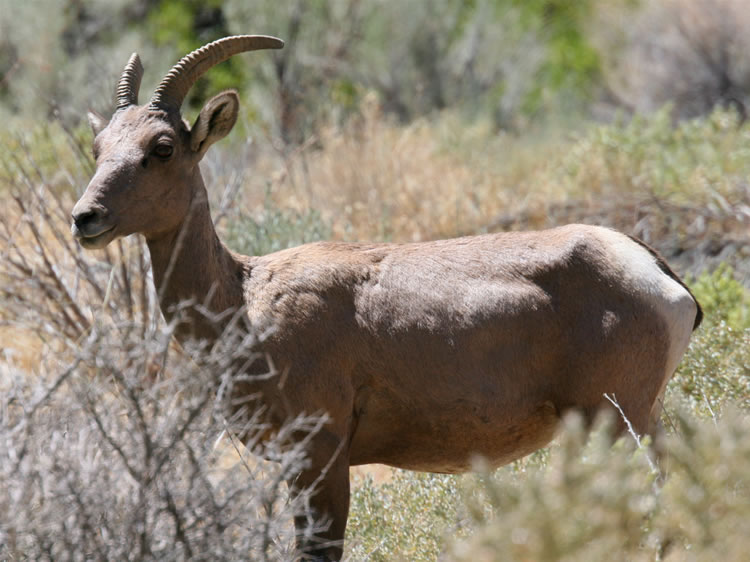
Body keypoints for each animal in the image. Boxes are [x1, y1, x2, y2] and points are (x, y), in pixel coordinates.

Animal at [72, 36, 704, 560]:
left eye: (162, 147)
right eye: (99, 145)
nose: (86, 219)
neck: (245, 298)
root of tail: (658, 274)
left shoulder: (322, 454)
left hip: (616, 421)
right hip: (640, 421)